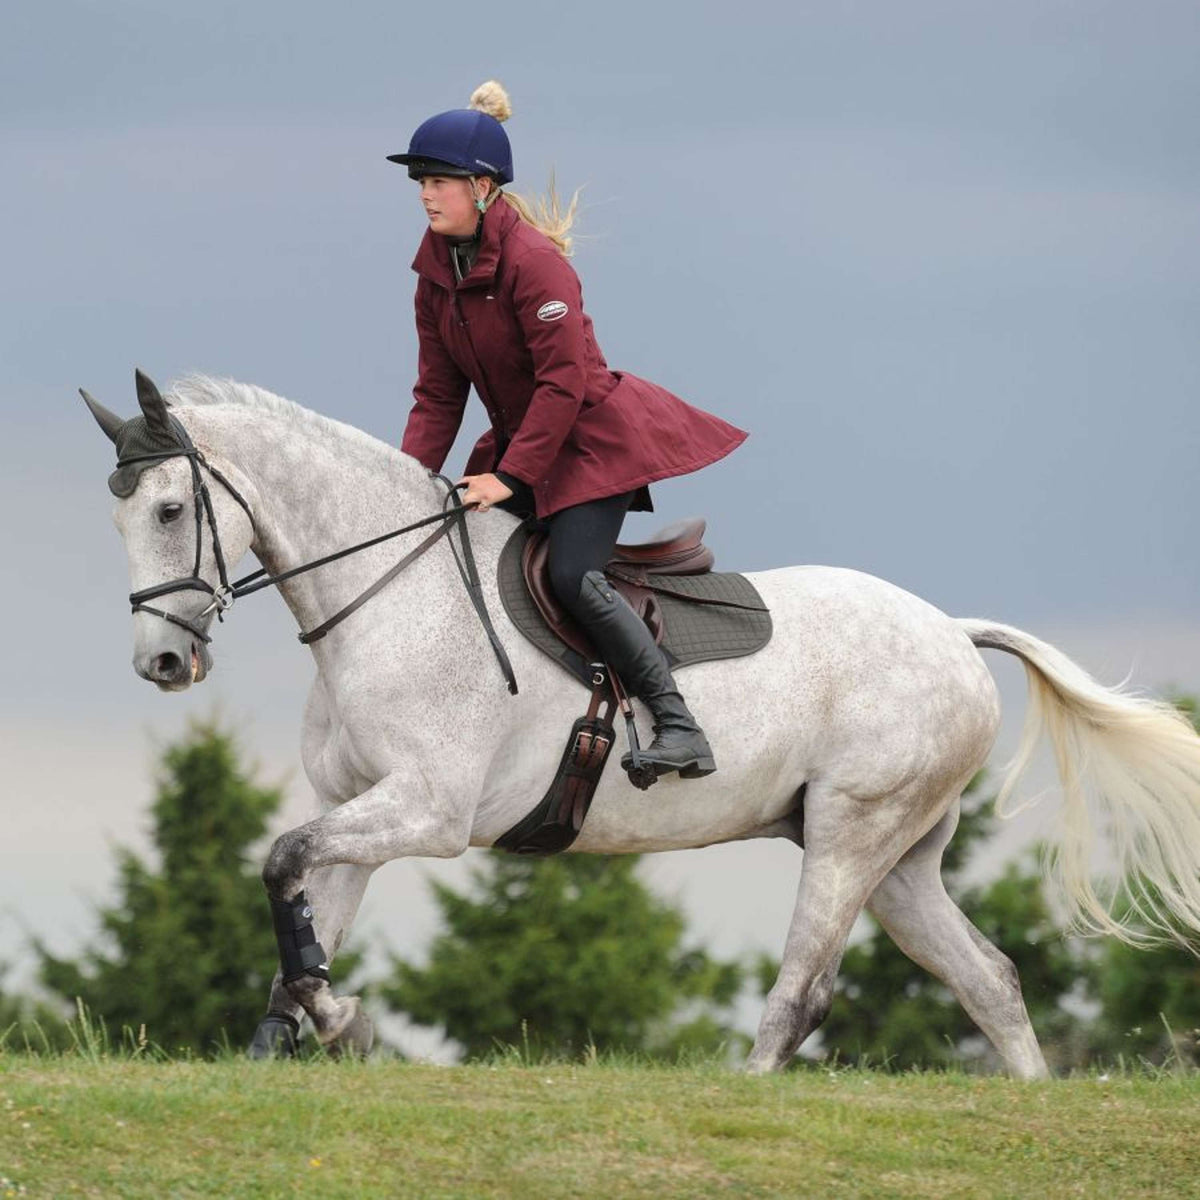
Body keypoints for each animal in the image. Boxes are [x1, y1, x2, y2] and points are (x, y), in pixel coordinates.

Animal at [79, 369, 1200, 1075]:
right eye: (117, 514)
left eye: (171, 510)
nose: (162, 664)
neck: (386, 595)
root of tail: (953, 634)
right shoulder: (362, 807)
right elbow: (301, 908)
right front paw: (298, 1032)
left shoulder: (428, 813)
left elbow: (281, 865)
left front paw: (339, 1023)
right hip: (902, 861)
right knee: (991, 981)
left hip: (852, 830)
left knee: (805, 990)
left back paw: (747, 1085)